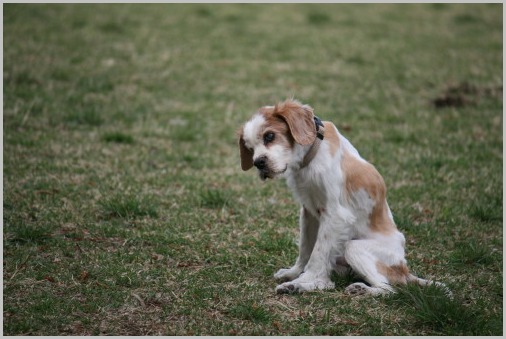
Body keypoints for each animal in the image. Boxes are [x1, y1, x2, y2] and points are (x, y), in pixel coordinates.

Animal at [239, 98, 440, 294]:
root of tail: (404, 269)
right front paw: (294, 273)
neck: (311, 158)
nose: (258, 163)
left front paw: (303, 279)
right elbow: (306, 249)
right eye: (249, 147)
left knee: (389, 289)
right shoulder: (309, 213)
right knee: (330, 282)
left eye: (269, 136)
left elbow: (317, 255)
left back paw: (356, 289)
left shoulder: (335, 215)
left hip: (354, 247)